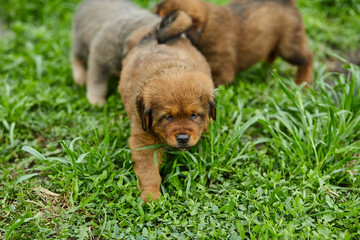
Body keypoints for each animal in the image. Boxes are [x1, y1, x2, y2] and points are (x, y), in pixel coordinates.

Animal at [120, 11, 217, 202]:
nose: (183, 138)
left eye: (194, 115)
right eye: (168, 117)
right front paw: (151, 196)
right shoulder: (143, 140)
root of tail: (153, 36)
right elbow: (149, 172)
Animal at [153, 0, 314, 87]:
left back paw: (302, 84)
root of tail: (288, 3)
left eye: (167, 20)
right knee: (272, 52)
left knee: (307, 59)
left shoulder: (222, 70)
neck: (207, 24)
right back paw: (266, 68)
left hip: (290, 46)